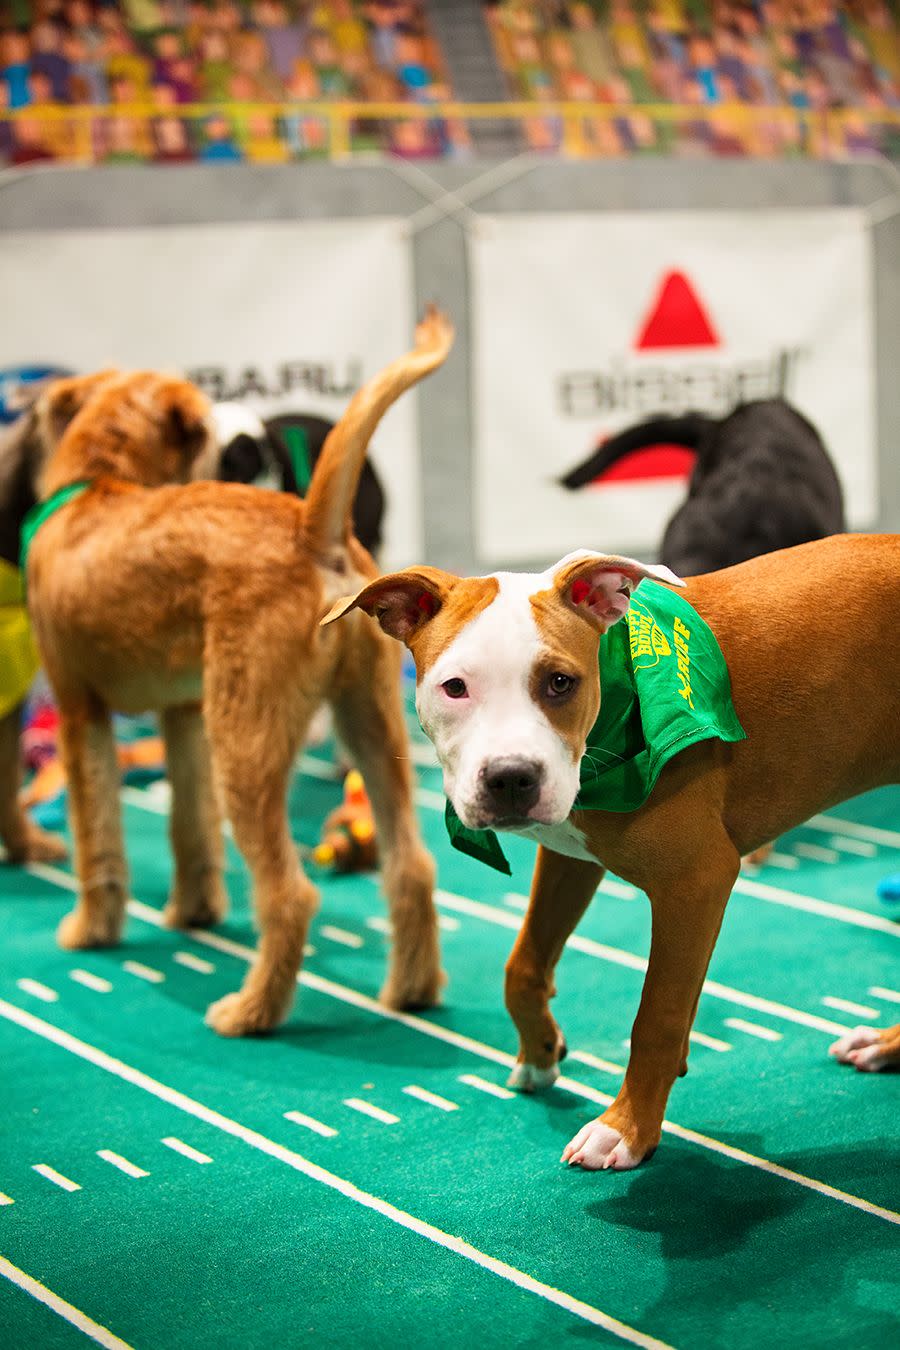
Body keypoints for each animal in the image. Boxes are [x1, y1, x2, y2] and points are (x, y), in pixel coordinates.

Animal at [323, 537, 900, 1171]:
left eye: (559, 682)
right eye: (455, 687)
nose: (510, 779)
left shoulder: (696, 881)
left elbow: (658, 1016)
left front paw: (626, 1128)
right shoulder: (570, 855)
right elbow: (522, 966)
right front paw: (540, 1052)